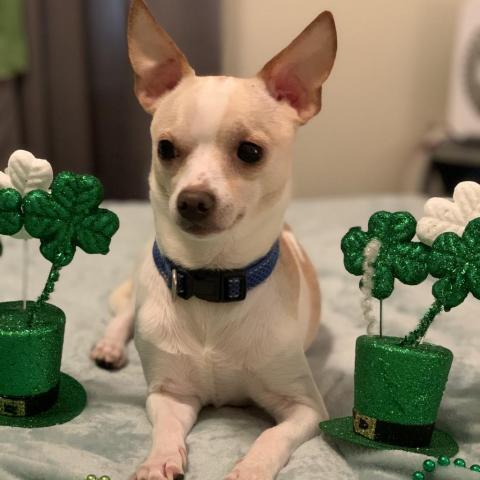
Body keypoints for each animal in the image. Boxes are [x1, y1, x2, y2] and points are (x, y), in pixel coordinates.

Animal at [91, 1, 338, 478]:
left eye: (250, 152)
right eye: (165, 149)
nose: (193, 200)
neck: (212, 279)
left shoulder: (305, 407)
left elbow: (272, 436)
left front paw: (252, 467)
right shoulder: (170, 395)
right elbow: (166, 430)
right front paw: (159, 460)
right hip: (137, 294)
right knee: (124, 315)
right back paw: (110, 345)